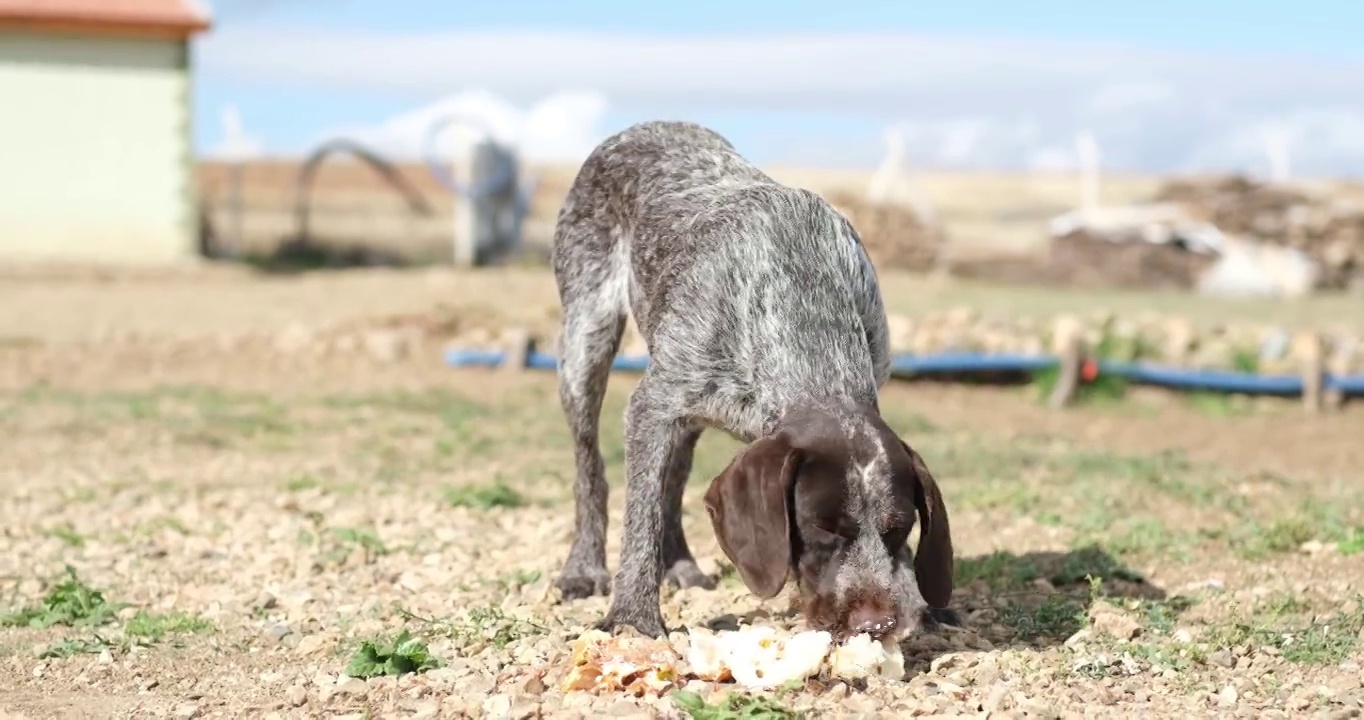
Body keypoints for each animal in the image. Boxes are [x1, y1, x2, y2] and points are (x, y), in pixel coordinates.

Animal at [548, 119, 954, 640]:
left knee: (674, 479)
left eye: (899, 528)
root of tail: (646, 126)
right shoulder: (653, 406)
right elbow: (639, 518)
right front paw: (633, 617)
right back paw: (584, 568)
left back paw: (679, 563)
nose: (874, 624)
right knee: (590, 469)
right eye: (820, 528)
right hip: (586, 340)